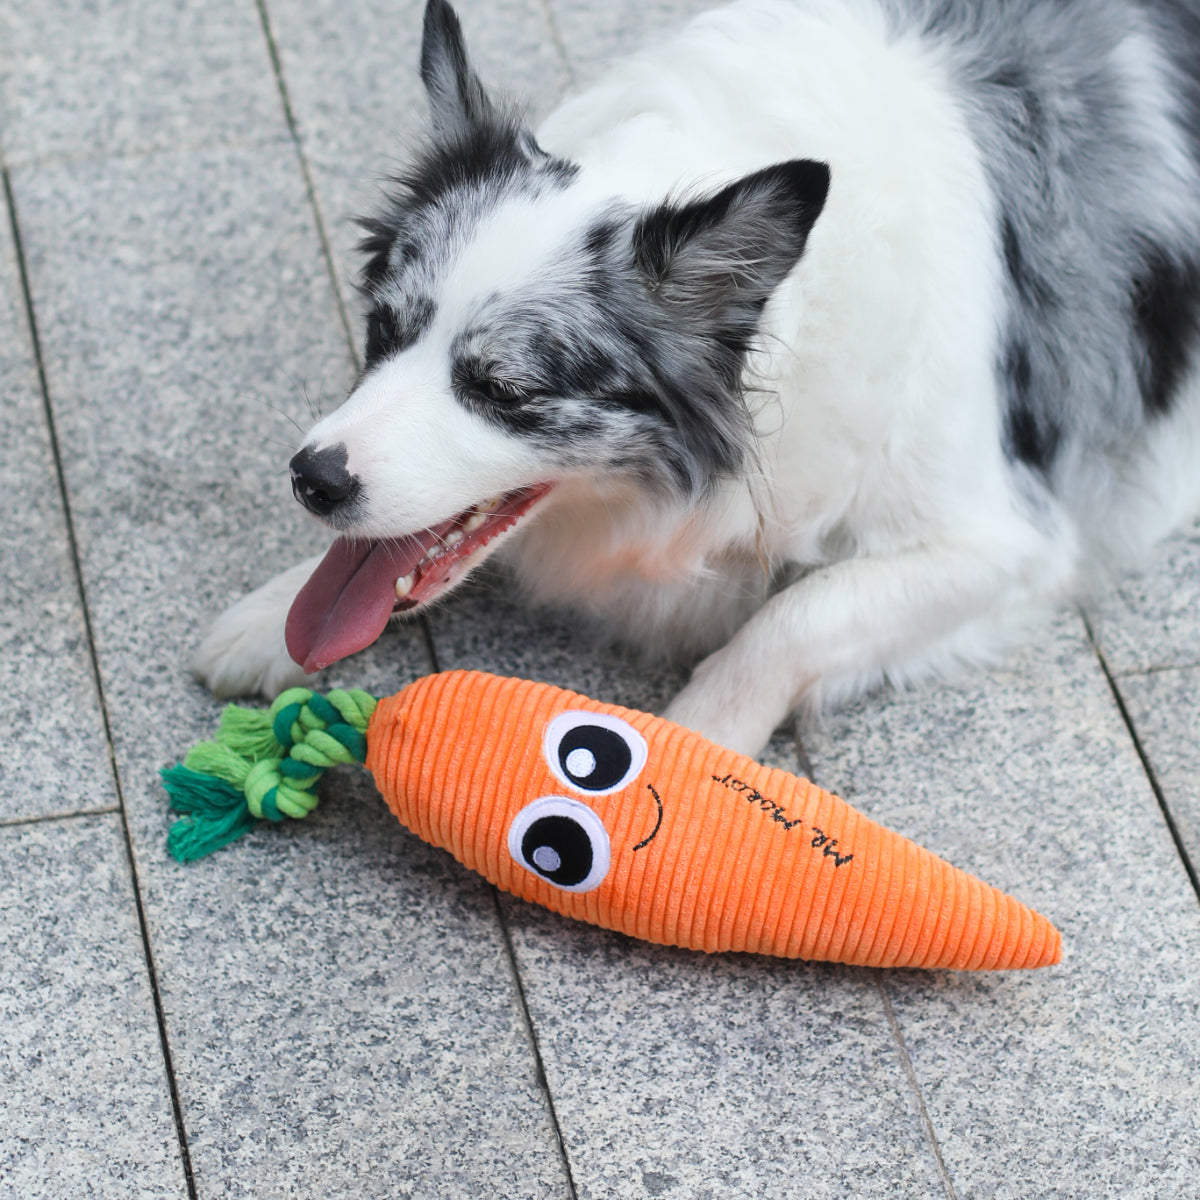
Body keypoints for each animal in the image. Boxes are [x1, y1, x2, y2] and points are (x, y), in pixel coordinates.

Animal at [192, 0, 1200, 753]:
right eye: (382, 328)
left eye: (503, 390)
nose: (310, 480)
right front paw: (273, 615)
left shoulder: (1005, 538)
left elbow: (795, 617)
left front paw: (697, 756)